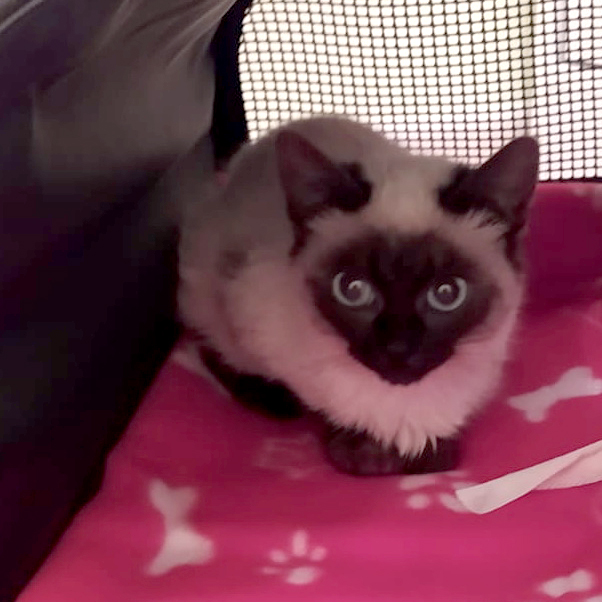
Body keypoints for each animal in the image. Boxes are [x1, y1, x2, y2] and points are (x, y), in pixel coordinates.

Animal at [177, 115, 539, 476]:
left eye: (447, 293)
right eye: (353, 290)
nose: (397, 349)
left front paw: (428, 456)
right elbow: (330, 409)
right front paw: (364, 453)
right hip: (208, 287)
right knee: (210, 347)